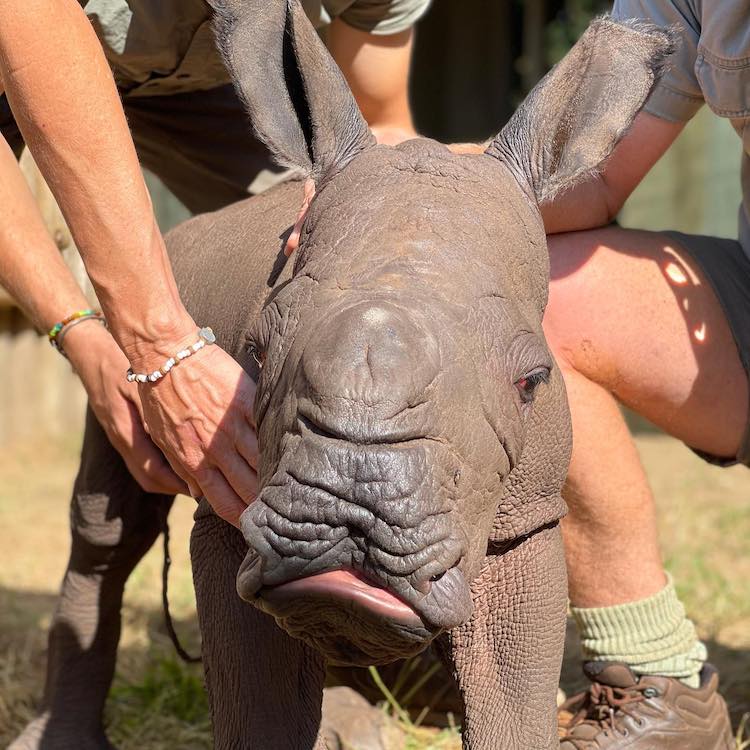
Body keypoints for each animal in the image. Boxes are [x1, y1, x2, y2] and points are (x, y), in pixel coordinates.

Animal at [11, 1, 672, 750]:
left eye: (532, 381)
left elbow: (513, 700)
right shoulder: (231, 507)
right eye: (257, 349)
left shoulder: (525, 519)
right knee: (109, 527)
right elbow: (256, 710)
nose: (353, 503)